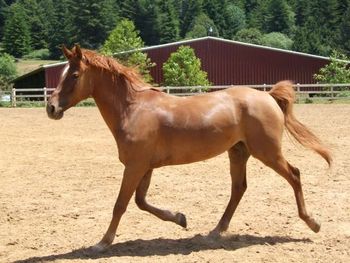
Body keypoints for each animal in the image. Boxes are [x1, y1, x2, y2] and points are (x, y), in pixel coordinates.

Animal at [45, 45, 330, 254]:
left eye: (74, 75)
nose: (51, 108)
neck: (132, 108)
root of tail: (267, 96)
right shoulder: (144, 167)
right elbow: (141, 202)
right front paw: (180, 218)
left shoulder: (135, 166)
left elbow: (121, 204)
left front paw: (102, 243)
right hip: (238, 152)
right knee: (239, 188)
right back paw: (215, 232)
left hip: (267, 152)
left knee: (294, 175)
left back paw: (313, 223)